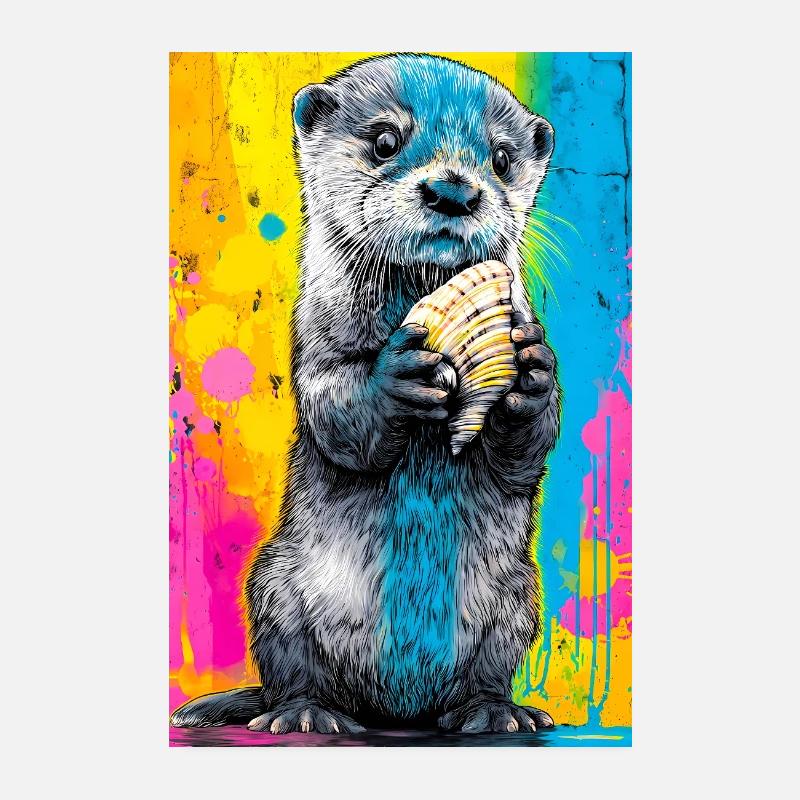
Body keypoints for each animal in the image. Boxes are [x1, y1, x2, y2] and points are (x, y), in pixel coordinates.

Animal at [171, 53, 561, 735]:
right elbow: (339, 414)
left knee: (488, 671)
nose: (453, 189)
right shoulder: (315, 342)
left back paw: (495, 711)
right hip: (275, 587)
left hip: (518, 599)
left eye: (502, 157)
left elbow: (525, 456)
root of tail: (397, 710)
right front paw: (396, 375)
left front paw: (533, 374)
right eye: (384, 140)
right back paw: (305, 713)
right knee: (290, 671)